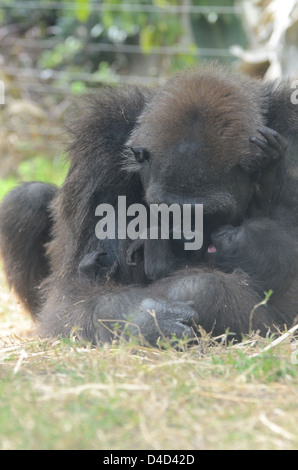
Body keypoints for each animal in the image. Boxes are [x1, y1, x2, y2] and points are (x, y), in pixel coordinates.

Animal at [0, 65, 298, 346]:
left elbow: (279, 292)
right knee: (26, 200)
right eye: (166, 210)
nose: (183, 238)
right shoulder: (100, 137)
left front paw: (193, 293)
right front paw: (143, 320)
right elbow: (70, 295)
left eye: (208, 216)